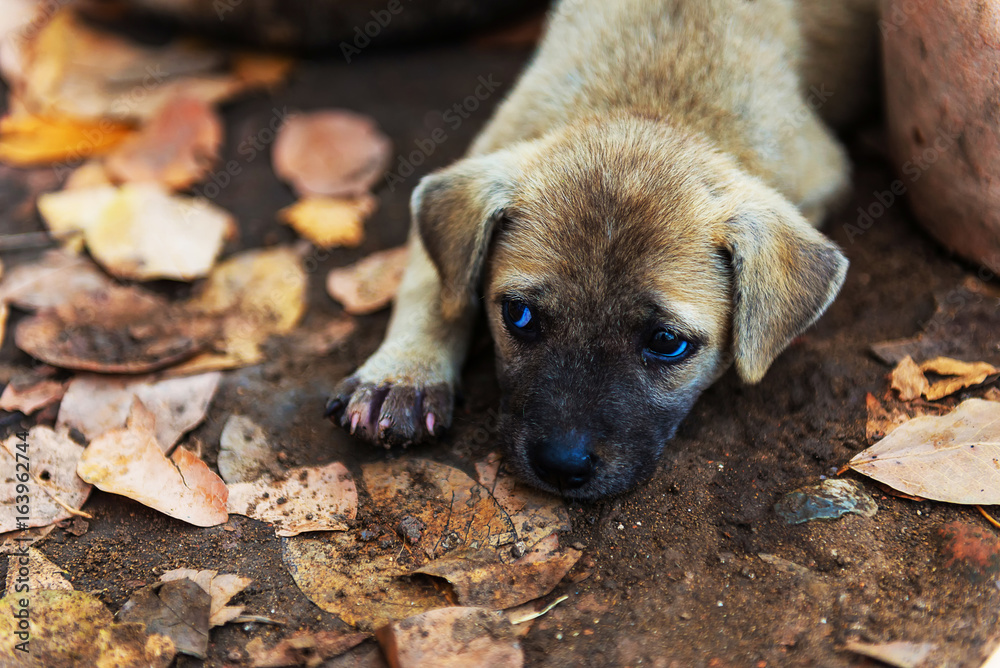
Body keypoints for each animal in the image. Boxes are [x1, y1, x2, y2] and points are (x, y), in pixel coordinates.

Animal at [328, 0, 876, 496]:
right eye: (519, 316)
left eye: (667, 342)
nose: (560, 467)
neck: (654, 106)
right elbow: (436, 287)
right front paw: (403, 375)